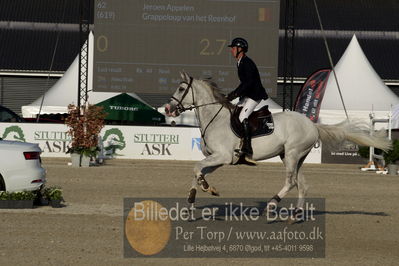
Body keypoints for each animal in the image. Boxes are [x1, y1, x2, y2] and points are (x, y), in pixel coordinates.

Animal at [164, 71, 392, 215]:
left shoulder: (222, 156)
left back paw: (272, 204)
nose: (168, 109)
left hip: (291, 154)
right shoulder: (219, 159)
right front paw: (196, 197)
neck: (215, 117)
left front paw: (203, 190)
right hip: (294, 157)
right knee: (302, 185)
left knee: (291, 182)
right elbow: (199, 171)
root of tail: (312, 124)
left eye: (181, 88)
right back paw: (296, 215)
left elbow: (197, 168)